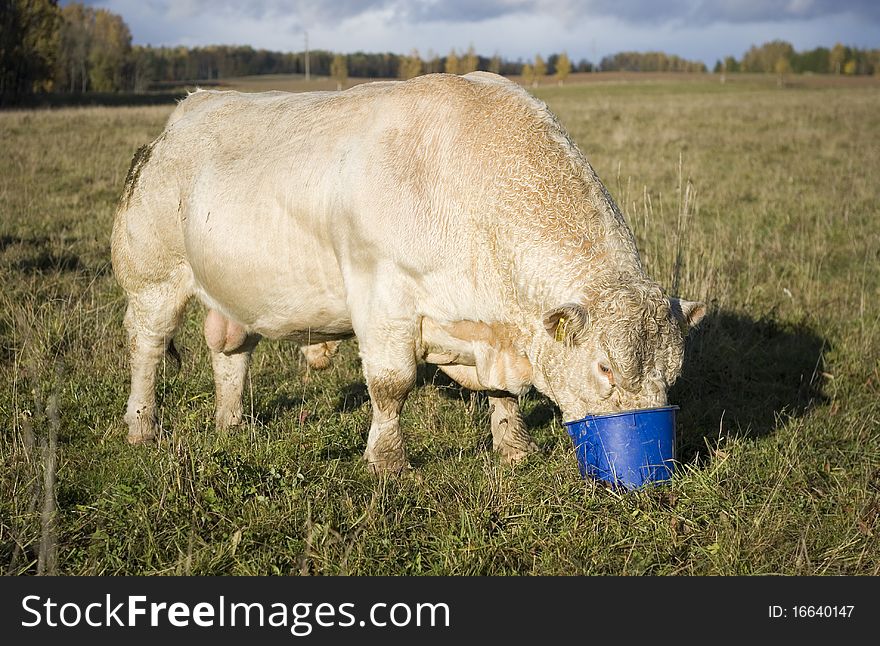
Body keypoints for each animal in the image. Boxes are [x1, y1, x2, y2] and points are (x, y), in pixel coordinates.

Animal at [110, 73, 704, 474]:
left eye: (673, 374)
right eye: (605, 368)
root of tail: (189, 109)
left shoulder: (492, 326)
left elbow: (504, 394)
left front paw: (513, 449)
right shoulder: (382, 294)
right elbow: (391, 384)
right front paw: (387, 462)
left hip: (233, 288)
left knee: (231, 351)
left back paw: (232, 423)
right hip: (153, 278)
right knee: (146, 347)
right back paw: (141, 427)